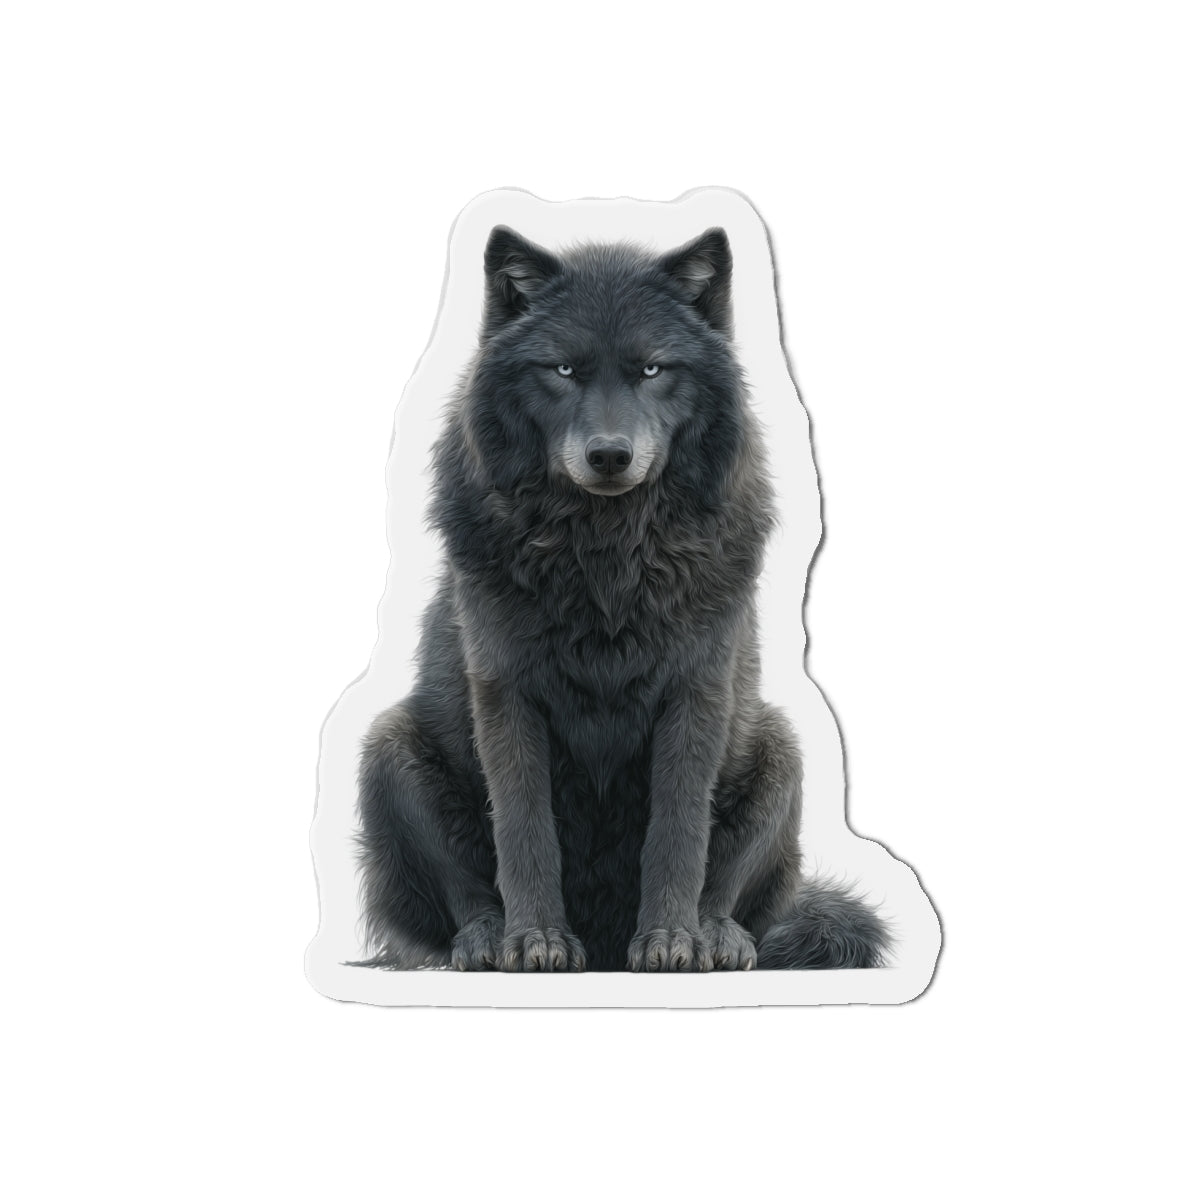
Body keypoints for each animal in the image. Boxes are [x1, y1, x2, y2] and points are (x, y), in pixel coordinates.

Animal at [354, 224, 890, 971]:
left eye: (653, 370)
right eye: (562, 370)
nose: (609, 455)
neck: (607, 563)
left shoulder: (696, 695)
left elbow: (679, 835)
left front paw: (671, 943)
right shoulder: (507, 695)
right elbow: (523, 831)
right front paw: (536, 943)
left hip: (781, 746)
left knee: (732, 894)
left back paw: (717, 937)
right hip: (388, 744)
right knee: (462, 895)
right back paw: (486, 940)